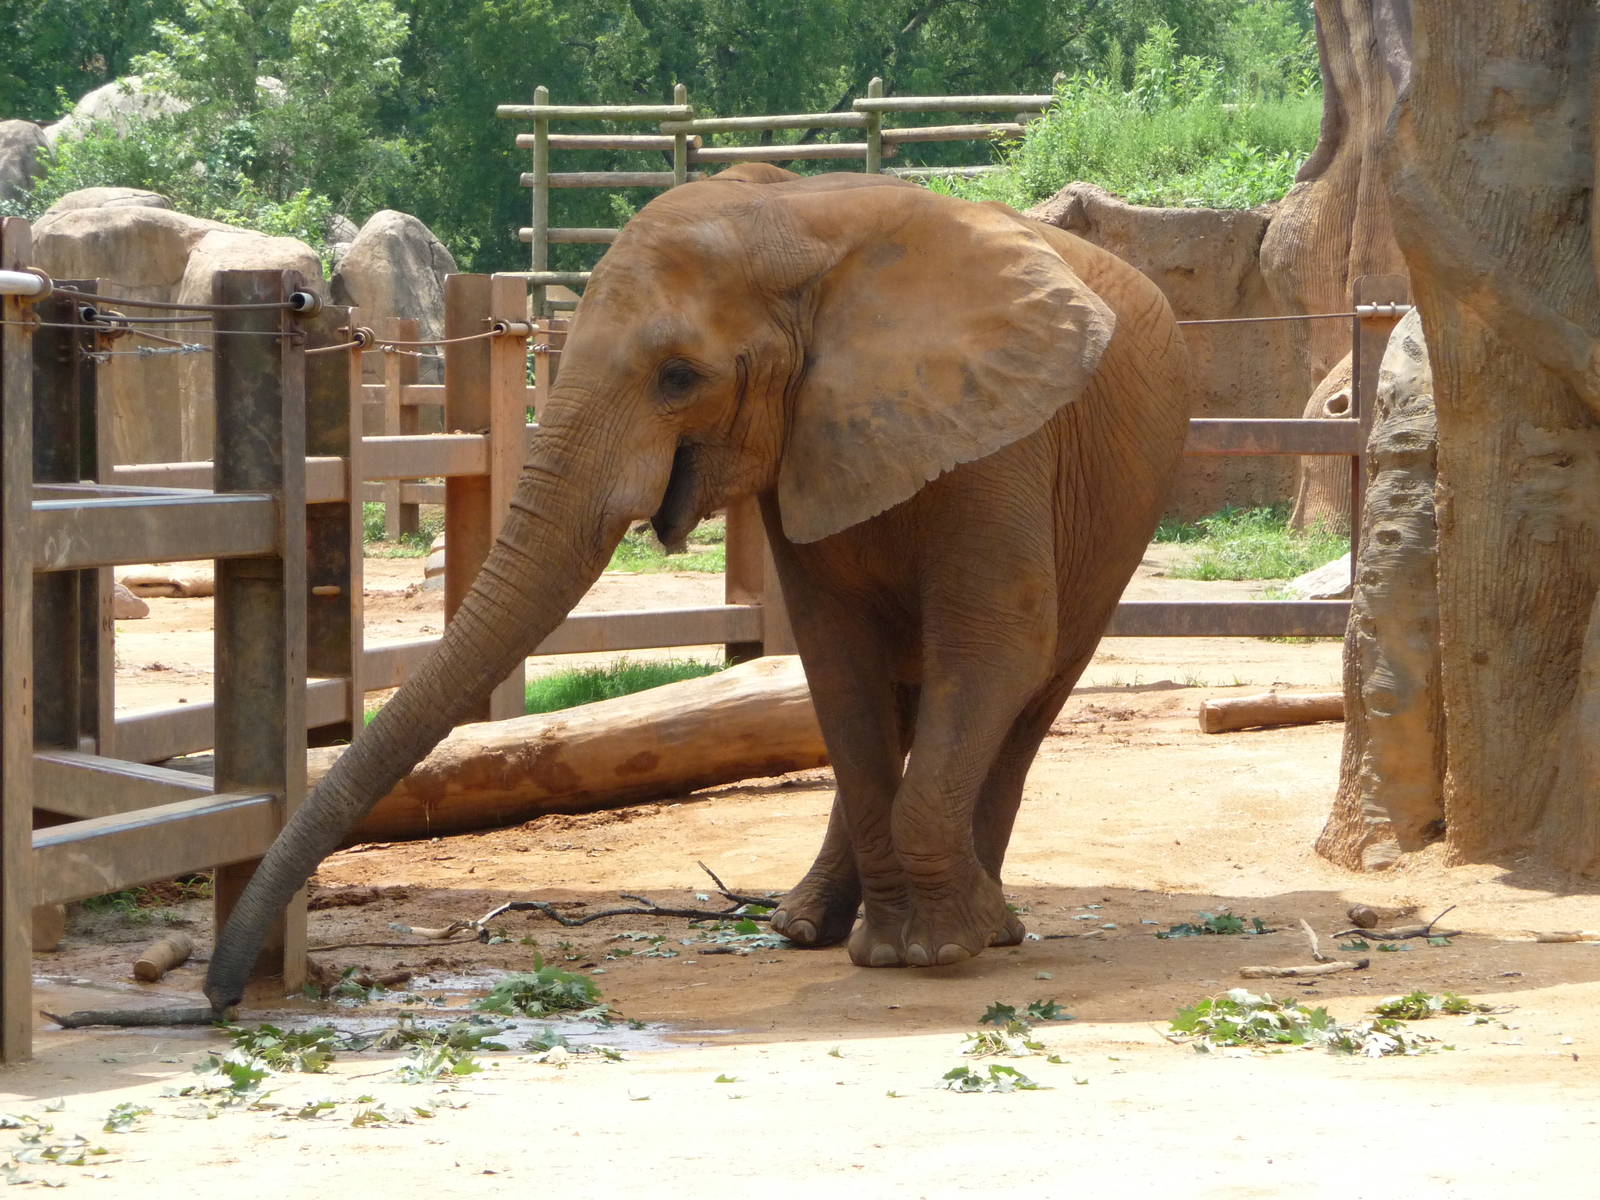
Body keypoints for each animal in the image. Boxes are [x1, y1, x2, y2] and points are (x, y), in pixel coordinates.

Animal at [204, 165, 1190, 1010]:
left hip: (1120, 511)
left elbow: (994, 643)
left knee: (1032, 689)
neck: (803, 225)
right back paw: (807, 926)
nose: (217, 995)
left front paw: (938, 950)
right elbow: (836, 659)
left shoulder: (1002, 434)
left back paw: (991, 926)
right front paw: (888, 947)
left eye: (680, 377)